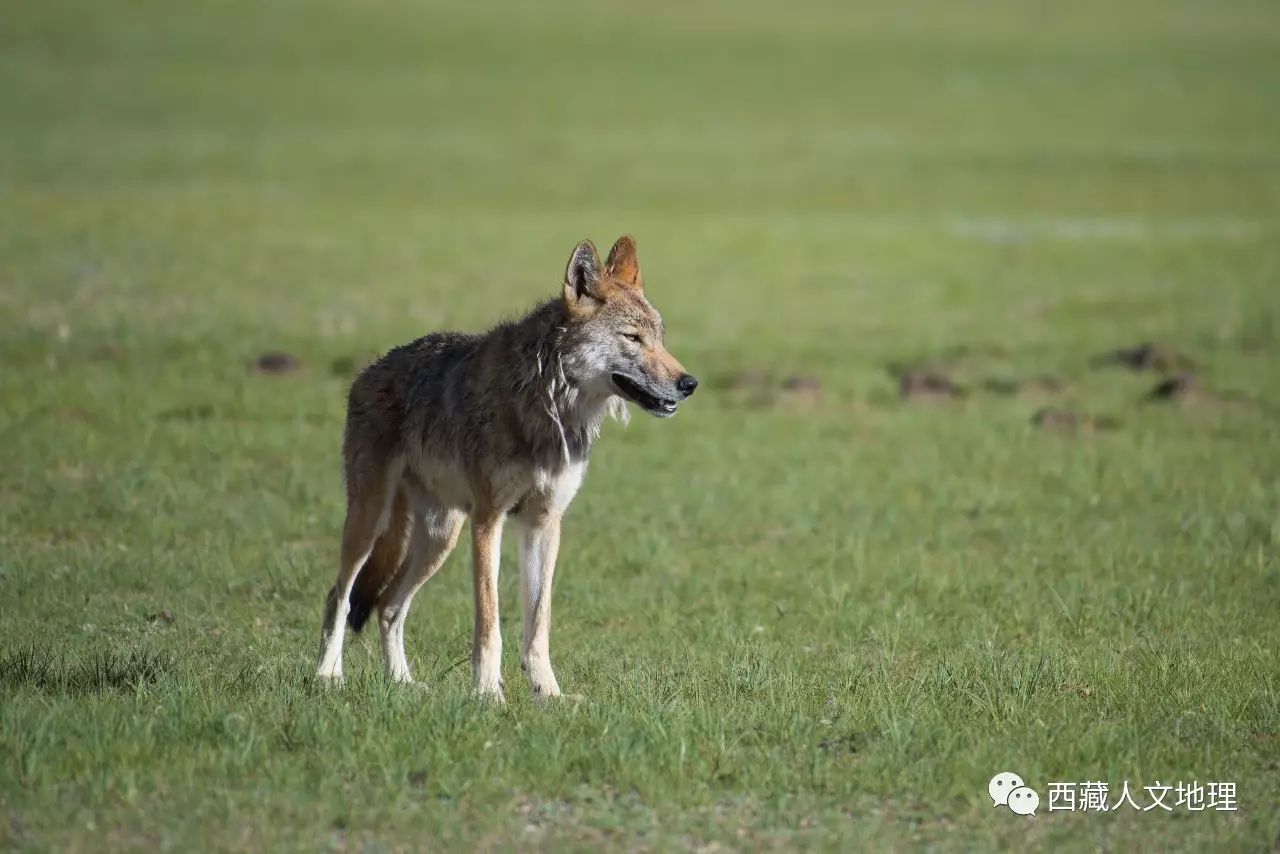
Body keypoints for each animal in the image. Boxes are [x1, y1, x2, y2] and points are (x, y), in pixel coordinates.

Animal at [316, 235, 701, 701]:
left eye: (660, 338)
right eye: (633, 337)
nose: (689, 384)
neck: (549, 408)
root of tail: (369, 369)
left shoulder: (544, 523)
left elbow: (538, 624)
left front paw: (549, 694)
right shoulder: (488, 520)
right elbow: (490, 620)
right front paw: (487, 694)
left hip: (440, 537)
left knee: (389, 605)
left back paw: (404, 684)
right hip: (370, 521)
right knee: (340, 596)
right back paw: (328, 676)